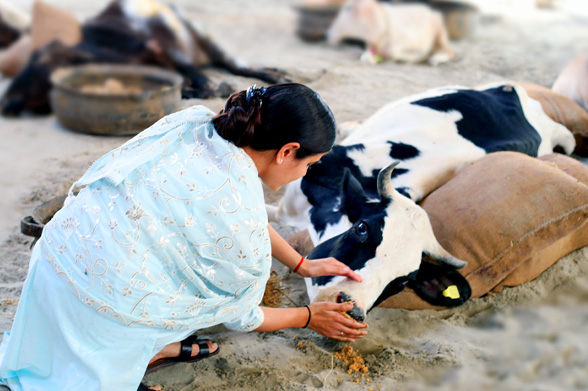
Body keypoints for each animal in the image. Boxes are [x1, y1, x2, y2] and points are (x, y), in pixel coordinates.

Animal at [1, 0, 288, 116]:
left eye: (42, 63)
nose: (7, 102)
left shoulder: (160, 45)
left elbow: (195, 74)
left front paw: (209, 86)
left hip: (202, 34)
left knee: (233, 63)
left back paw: (274, 73)